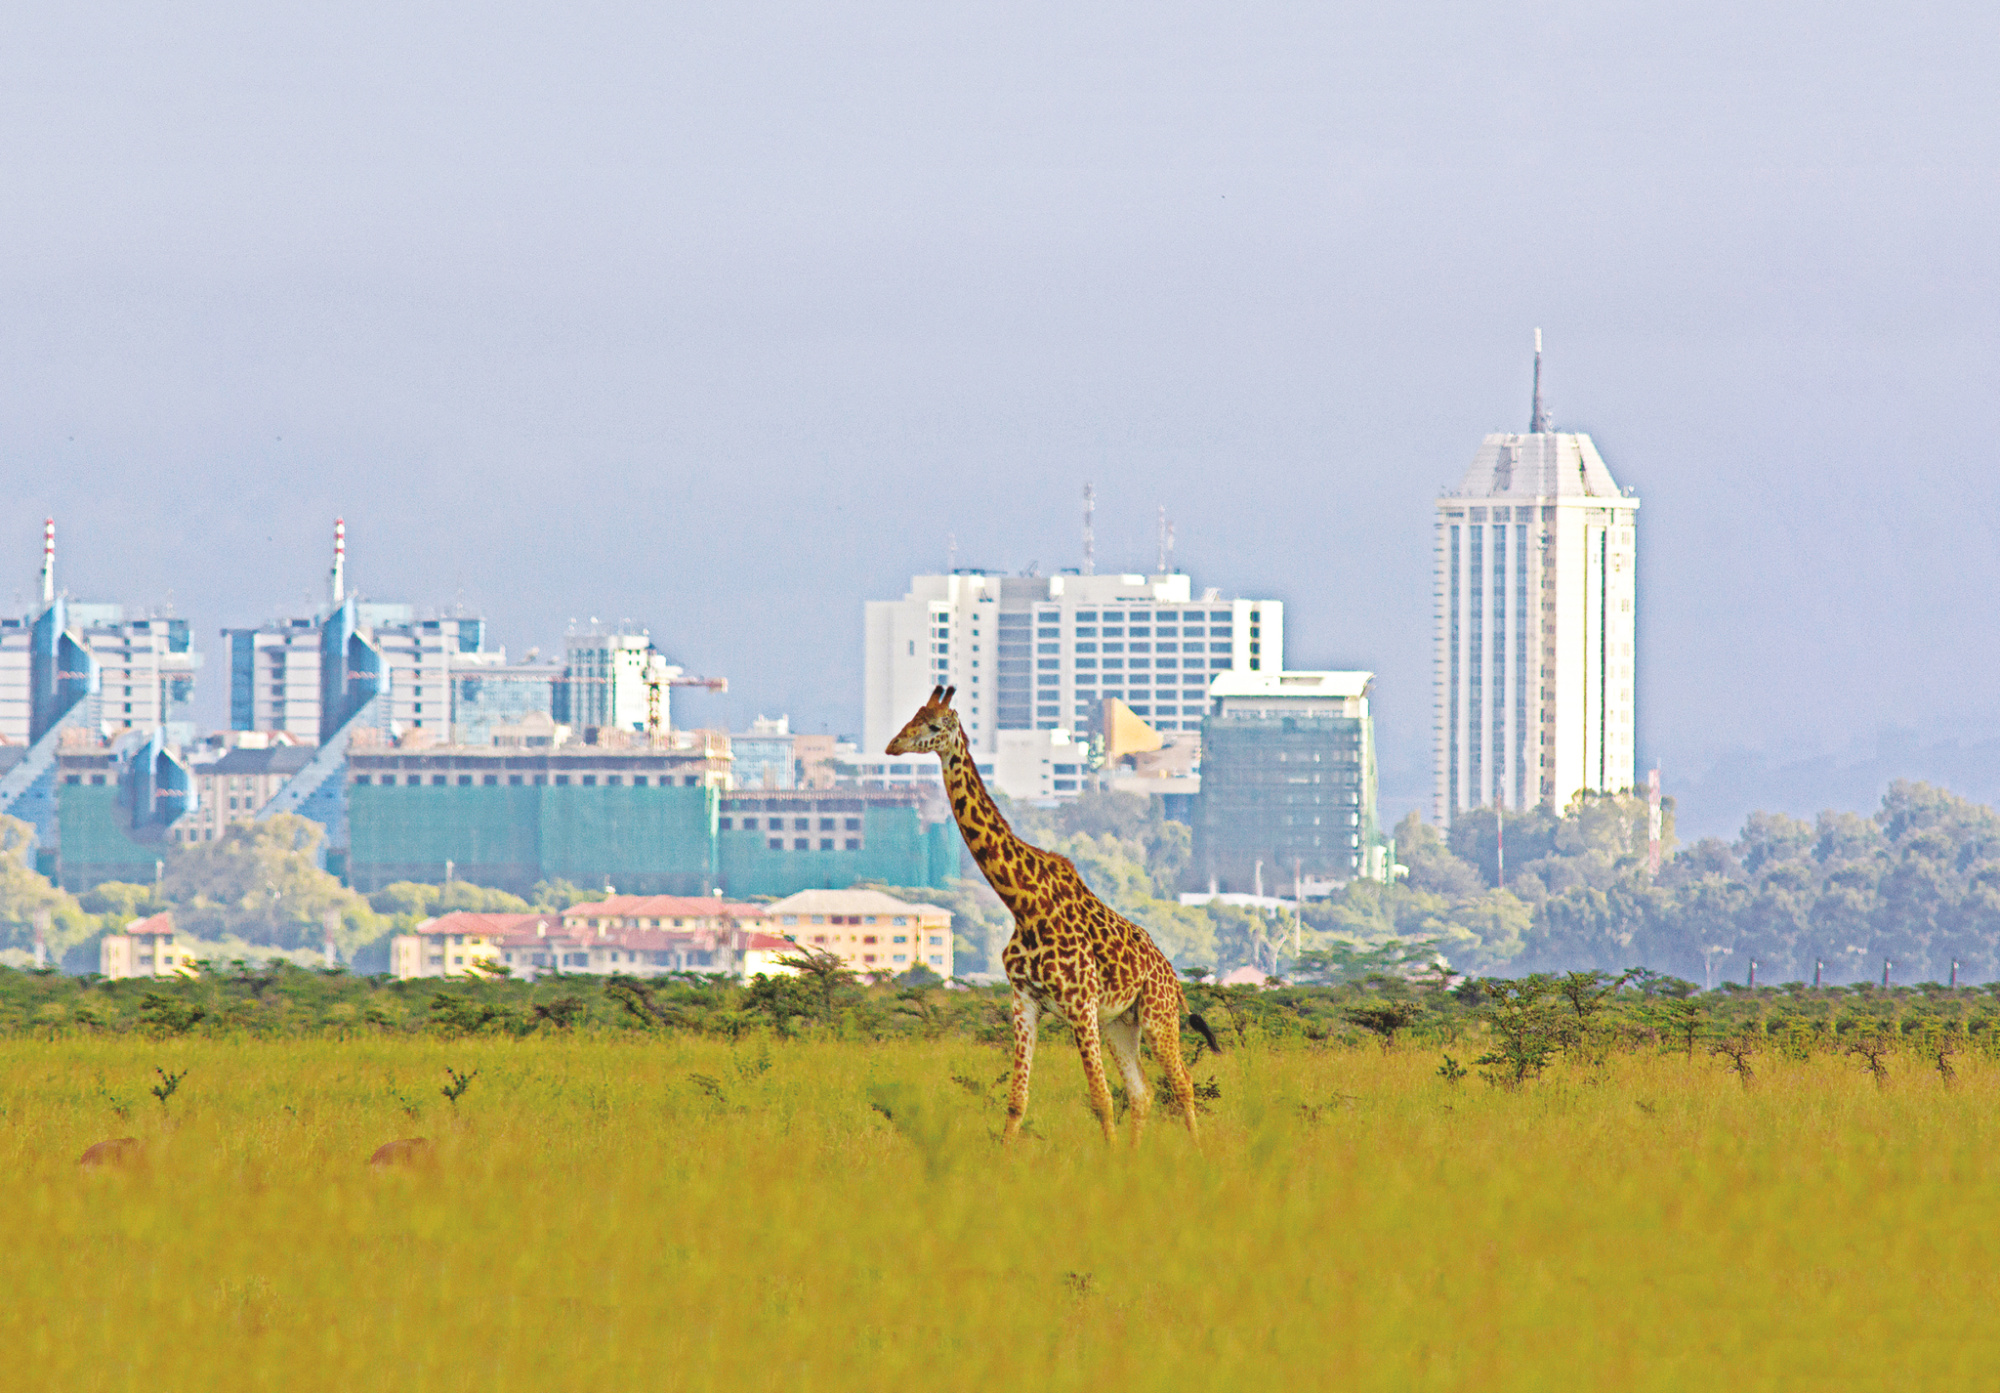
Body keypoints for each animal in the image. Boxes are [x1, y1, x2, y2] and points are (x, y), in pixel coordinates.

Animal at [888, 684, 1216, 1144]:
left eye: (934, 726)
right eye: (912, 718)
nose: (893, 746)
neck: (1024, 905)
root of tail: (1171, 974)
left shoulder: (1080, 1005)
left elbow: (1101, 1099)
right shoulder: (1024, 1001)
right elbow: (1017, 1100)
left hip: (1157, 1016)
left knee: (1182, 1084)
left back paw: (1197, 1153)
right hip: (1121, 1023)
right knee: (1143, 1092)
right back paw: (1136, 1156)